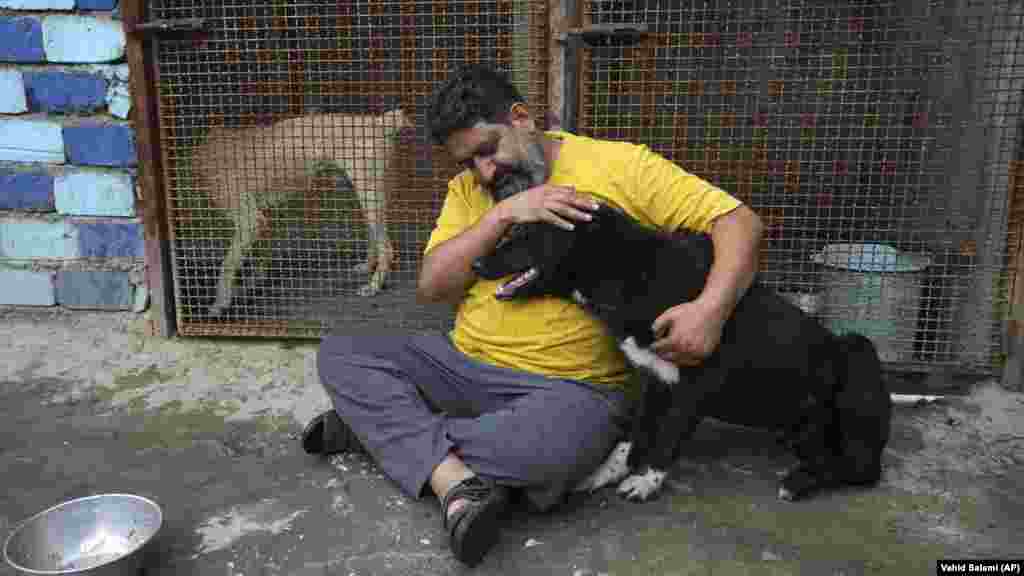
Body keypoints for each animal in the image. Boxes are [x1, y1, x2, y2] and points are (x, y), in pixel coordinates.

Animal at [475, 199, 892, 500]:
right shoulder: (651, 376)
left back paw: (798, 481)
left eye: (523, 231)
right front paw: (610, 471)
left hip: (858, 351)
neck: (629, 272)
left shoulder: (696, 382)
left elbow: (668, 435)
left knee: (862, 469)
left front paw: (647, 480)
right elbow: (635, 431)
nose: (476, 262)